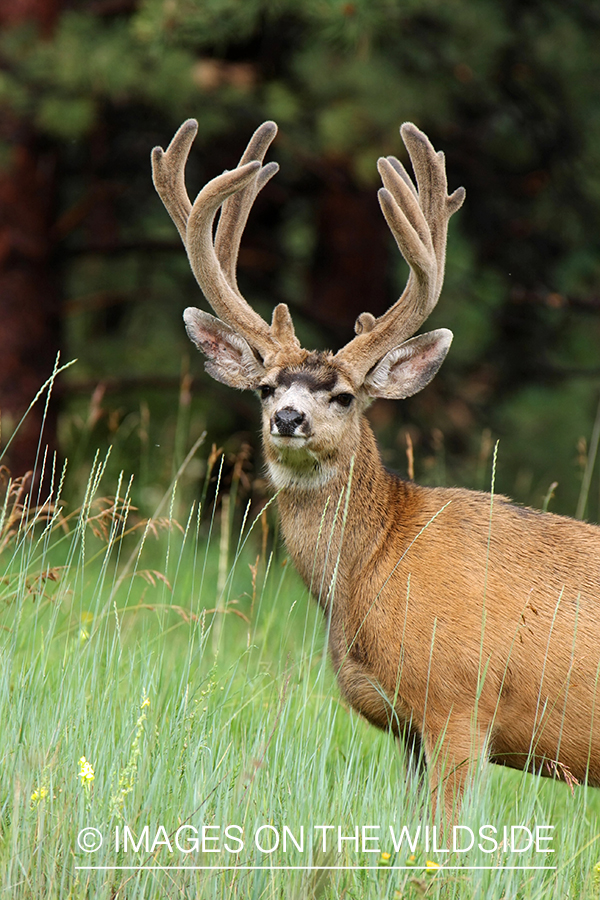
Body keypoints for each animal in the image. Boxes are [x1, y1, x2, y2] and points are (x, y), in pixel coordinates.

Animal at [151, 117, 600, 827]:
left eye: (343, 396)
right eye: (265, 387)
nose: (288, 418)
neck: (377, 563)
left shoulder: (458, 703)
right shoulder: (408, 730)